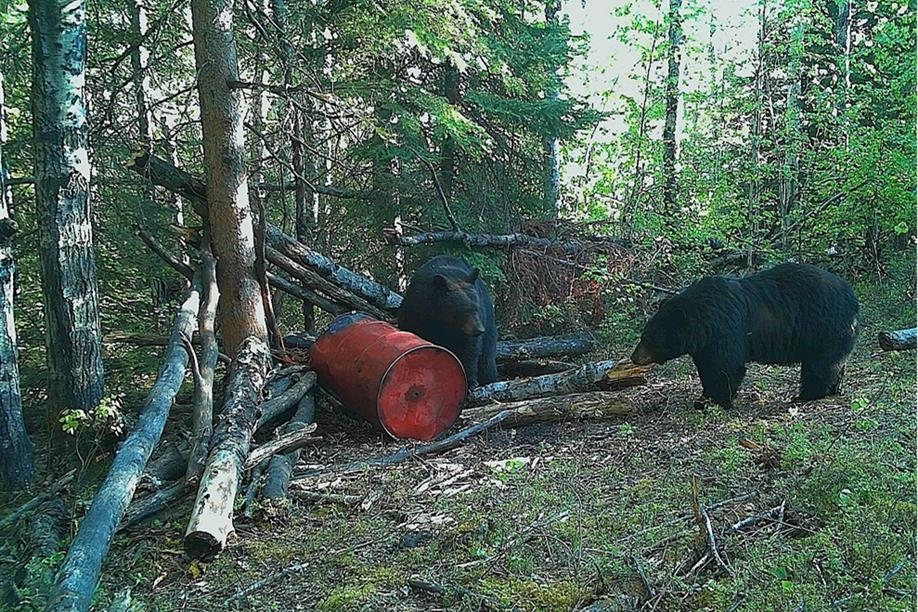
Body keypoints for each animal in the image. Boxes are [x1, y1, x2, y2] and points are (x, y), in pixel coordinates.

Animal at [398, 255, 498, 389]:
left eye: (476, 307)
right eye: (465, 310)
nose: (479, 329)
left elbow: (471, 349)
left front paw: (470, 381)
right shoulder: (417, 309)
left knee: (487, 361)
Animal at [630, 263, 859, 409]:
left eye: (648, 338)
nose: (634, 357)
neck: (704, 321)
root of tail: (853, 298)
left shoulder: (726, 329)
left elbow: (726, 366)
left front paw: (718, 400)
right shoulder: (706, 345)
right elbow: (707, 367)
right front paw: (704, 397)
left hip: (825, 327)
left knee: (819, 365)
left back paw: (806, 395)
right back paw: (832, 389)